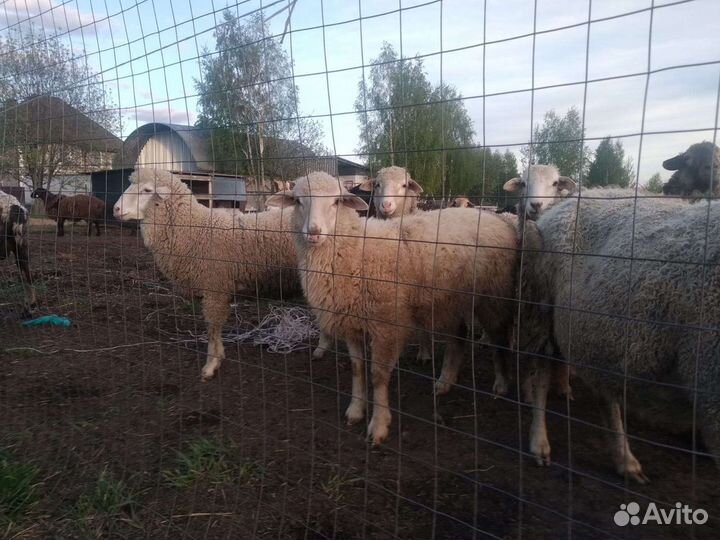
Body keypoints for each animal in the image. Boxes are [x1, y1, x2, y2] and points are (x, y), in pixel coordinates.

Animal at [113, 168, 332, 381]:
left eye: (147, 190)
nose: (115, 209)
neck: (194, 228)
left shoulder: (215, 287)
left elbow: (213, 326)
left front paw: (211, 365)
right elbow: (214, 328)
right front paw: (218, 357)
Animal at [267, 172, 519, 444]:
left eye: (336, 201)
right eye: (298, 201)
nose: (314, 232)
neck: (355, 250)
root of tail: (493, 217)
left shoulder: (386, 325)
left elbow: (378, 375)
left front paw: (379, 425)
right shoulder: (351, 322)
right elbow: (357, 369)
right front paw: (355, 410)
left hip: (492, 294)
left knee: (498, 338)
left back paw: (502, 383)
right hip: (448, 300)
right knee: (458, 336)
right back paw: (444, 382)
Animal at [512, 186, 719, 483]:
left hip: (598, 334)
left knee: (604, 391)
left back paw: (624, 460)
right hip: (544, 311)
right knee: (542, 377)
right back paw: (540, 443)